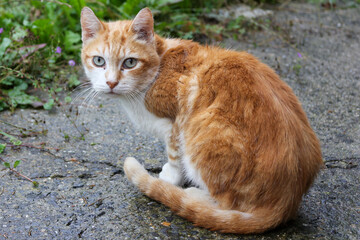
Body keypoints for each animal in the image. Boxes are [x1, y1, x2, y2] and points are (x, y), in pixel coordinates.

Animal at [80, 7, 322, 232]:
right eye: (99, 61)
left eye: (130, 63)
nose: (111, 83)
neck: (157, 69)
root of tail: (287, 203)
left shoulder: (175, 124)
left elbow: (174, 156)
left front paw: (170, 178)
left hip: (203, 130)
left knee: (226, 204)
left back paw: (194, 195)